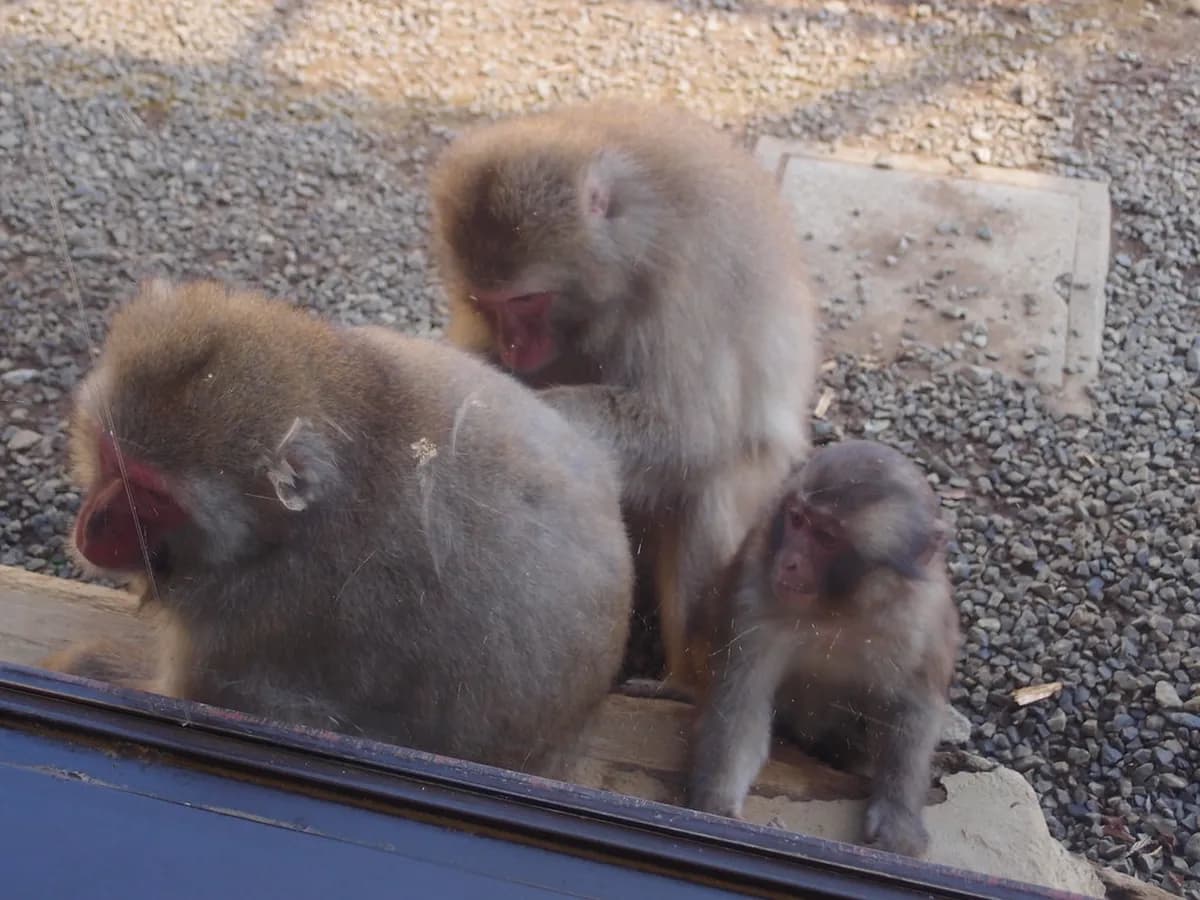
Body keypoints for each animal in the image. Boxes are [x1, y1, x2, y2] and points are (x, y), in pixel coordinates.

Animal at [429, 99, 818, 691]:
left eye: (527, 300)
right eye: (485, 302)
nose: (514, 347)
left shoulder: (684, 292)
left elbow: (692, 433)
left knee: (709, 484)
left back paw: (686, 680)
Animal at [684, 440, 960, 858]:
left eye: (827, 538)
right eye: (797, 520)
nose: (790, 562)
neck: (839, 612)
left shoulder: (923, 620)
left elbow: (913, 707)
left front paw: (899, 815)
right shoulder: (755, 590)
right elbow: (743, 700)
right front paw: (718, 805)